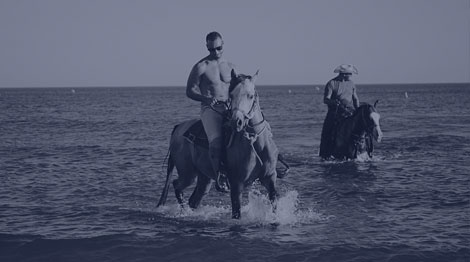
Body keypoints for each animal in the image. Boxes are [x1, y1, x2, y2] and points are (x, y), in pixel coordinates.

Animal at [157, 69, 286, 219]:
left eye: (250, 96)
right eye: (232, 95)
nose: (237, 121)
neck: (255, 142)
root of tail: (178, 128)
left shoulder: (270, 179)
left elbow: (274, 204)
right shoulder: (236, 184)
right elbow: (236, 213)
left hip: (204, 178)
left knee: (193, 200)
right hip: (187, 174)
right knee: (177, 185)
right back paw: (184, 212)